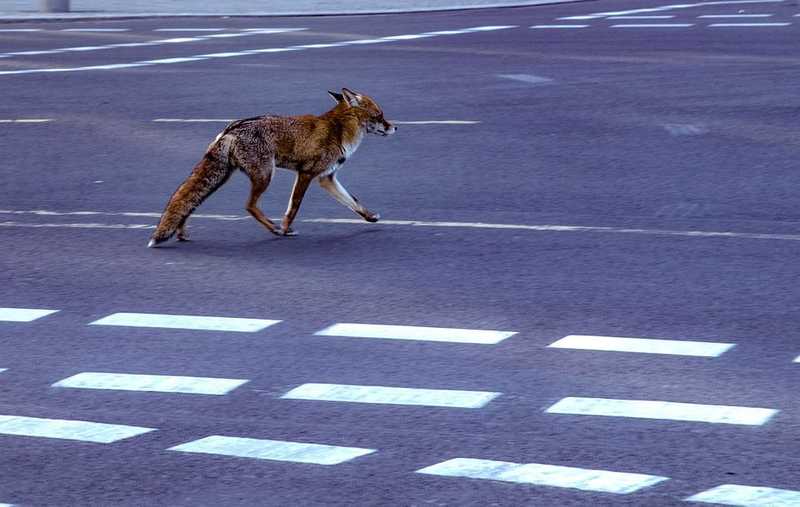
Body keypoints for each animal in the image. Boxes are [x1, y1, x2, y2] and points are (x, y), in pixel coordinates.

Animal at [148, 89, 396, 248]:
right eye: (380, 115)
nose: (395, 127)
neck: (338, 129)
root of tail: (230, 129)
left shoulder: (327, 178)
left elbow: (354, 202)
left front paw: (370, 217)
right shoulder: (306, 173)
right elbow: (293, 207)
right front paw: (286, 228)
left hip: (223, 177)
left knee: (188, 202)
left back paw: (181, 232)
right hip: (265, 176)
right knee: (249, 206)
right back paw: (274, 228)